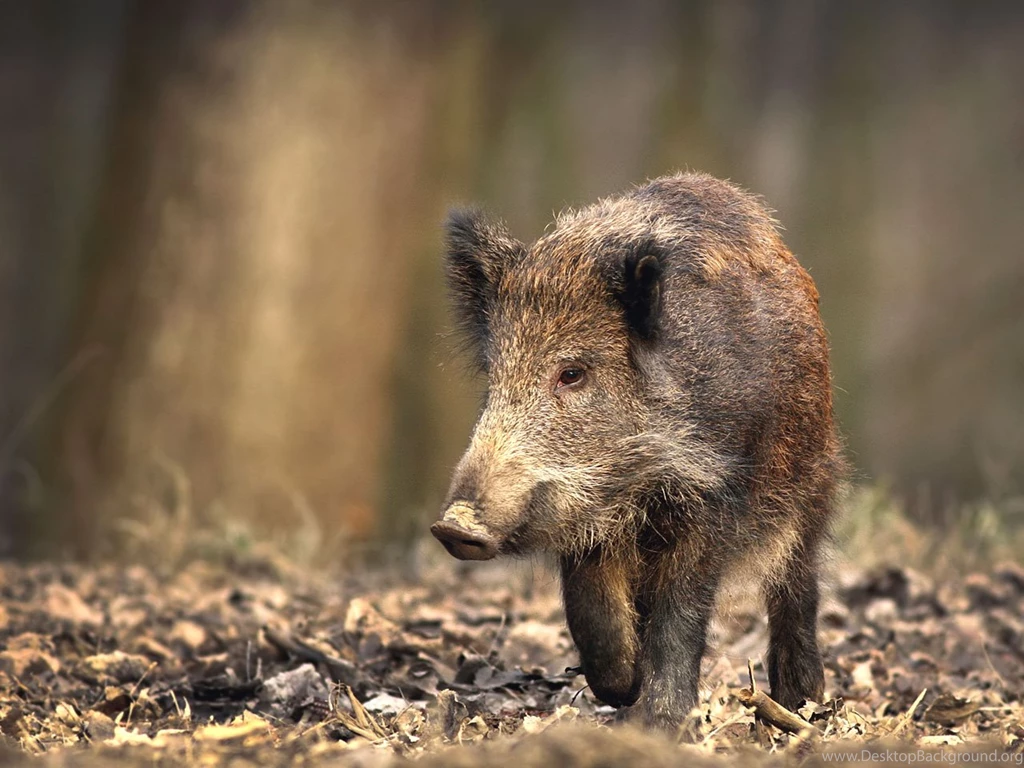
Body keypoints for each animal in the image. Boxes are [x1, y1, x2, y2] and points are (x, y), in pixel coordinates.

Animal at [431, 172, 845, 730]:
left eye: (571, 373)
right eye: (495, 376)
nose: (453, 525)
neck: (637, 481)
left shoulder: (713, 498)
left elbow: (681, 611)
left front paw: (660, 723)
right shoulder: (586, 521)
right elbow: (592, 611)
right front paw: (623, 690)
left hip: (813, 476)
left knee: (796, 583)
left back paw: (800, 702)